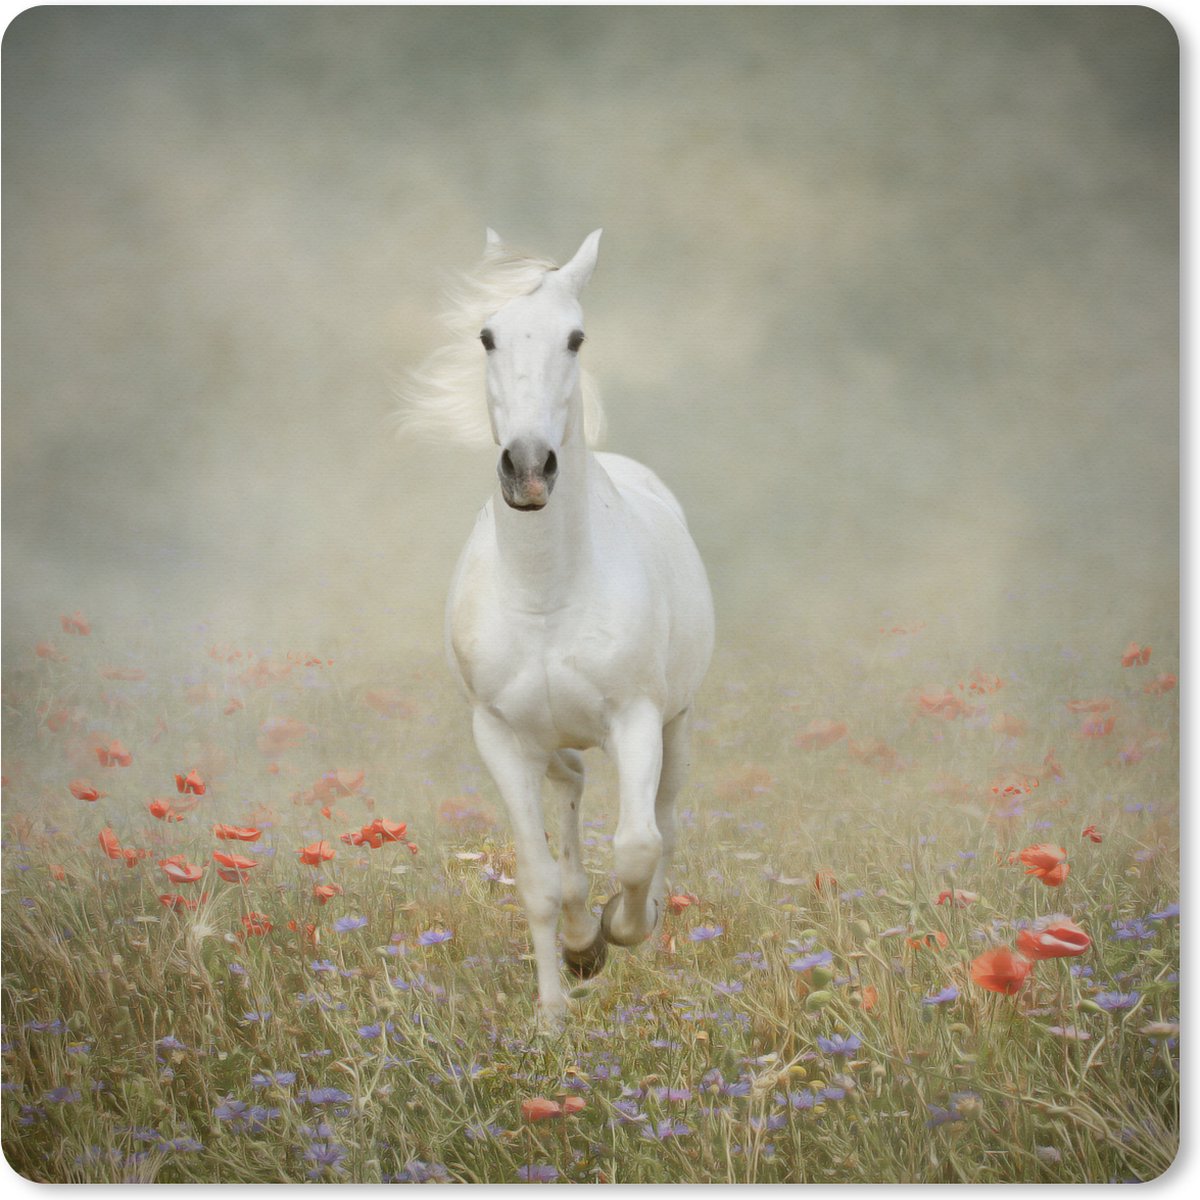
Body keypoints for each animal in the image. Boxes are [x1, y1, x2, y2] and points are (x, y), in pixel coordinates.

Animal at [402, 229, 714, 1029]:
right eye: (486, 336)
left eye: (575, 337)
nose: (529, 468)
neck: (547, 593)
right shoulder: (499, 736)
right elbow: (538, 880)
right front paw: (558, 997)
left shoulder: (635, 719)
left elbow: (637, 845)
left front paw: (621, 930)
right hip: (545, 738)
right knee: (570, 787)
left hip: (677, 726)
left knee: (665, 819)